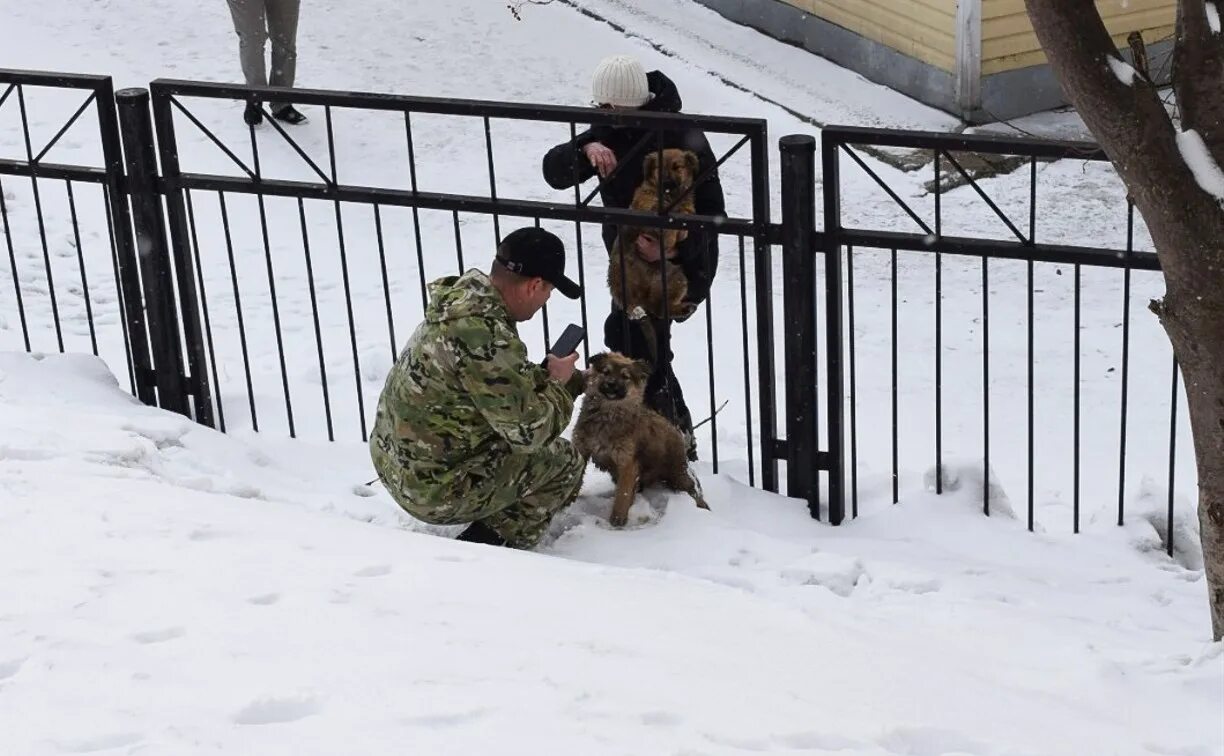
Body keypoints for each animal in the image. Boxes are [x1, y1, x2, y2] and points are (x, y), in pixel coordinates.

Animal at [572, 349, 709, 521]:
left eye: (625, 376)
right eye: (606, 372)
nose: (611, 384)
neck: (608, 412)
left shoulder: (627, 463)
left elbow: (622, 495)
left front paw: (617, 520)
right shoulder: (582, 449)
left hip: (678, 474)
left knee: (693, 490)